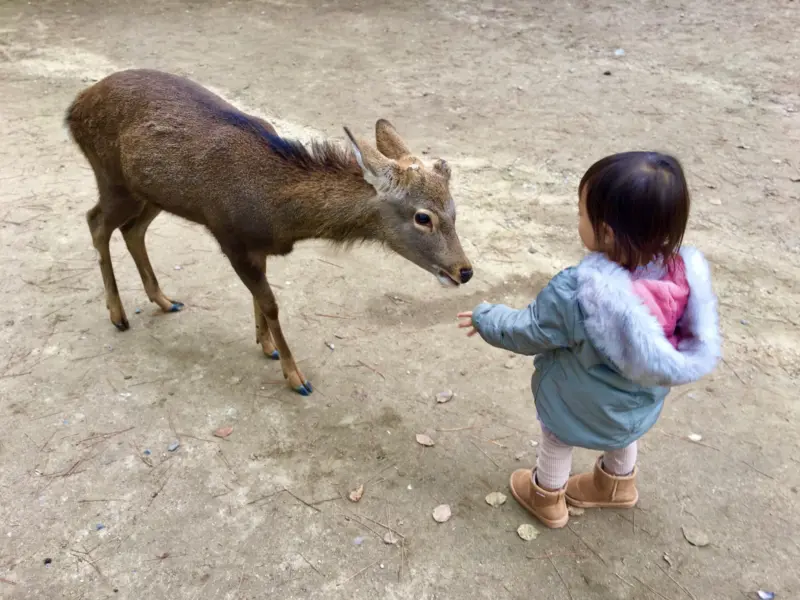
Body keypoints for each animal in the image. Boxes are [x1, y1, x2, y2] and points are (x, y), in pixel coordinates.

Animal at [67, 69, 476, 394]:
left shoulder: (256, 247)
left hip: (151, 193)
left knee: (132, 230)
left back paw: (165, 300)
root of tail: (72, 109)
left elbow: (259, 299)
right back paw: (118, 315)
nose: (465, 270)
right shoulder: (230, 237)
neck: (278, 216)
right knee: (96, 221)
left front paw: (265, 344)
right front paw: (295, 376)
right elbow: (271, 303)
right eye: (423, 217)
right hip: (111, 178)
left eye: (455, 211)